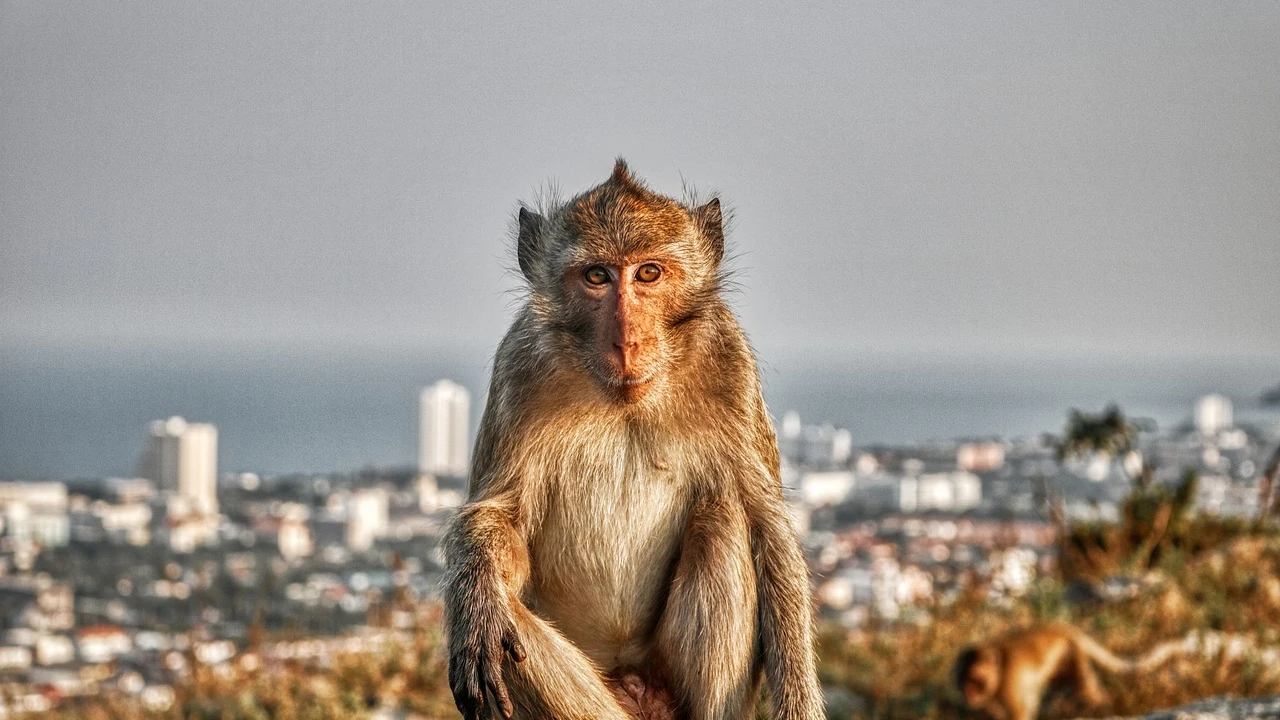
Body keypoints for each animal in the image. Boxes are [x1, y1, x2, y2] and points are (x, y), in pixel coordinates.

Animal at [442, 160, 825, 720]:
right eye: (597, 276)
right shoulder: (520, 364)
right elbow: (500, 517)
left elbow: (766, 527)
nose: (627, 340)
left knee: (723, 517)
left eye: (648, 273)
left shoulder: (729, 360)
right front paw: (477, 605)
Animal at [953, 624, 1181, 720]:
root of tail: (1063, 629)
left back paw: (1102, 704)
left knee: (1087, 691)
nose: (968, 693)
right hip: (1063, 666)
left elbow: (1020, 712)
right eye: (963, 681)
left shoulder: (1008, 683)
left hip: (1073, 655)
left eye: (975, 680)